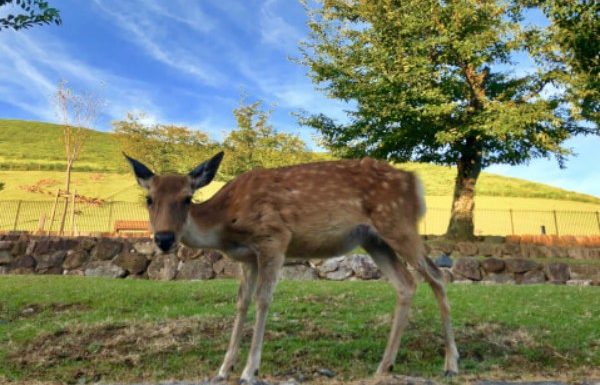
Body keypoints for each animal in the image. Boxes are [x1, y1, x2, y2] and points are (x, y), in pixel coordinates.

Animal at [123, 152, 460, 382]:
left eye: (187, 198)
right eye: (149, 198)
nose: (164, 238)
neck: (226, 224)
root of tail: (415, 183)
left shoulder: (274, 238)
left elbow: (263, 300)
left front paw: (250, 370)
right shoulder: (248, 258)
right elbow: (241, 303)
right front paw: (223, 369)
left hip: (398, 224)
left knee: (437, 275)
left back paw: (451, 364)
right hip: (375, 240)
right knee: (407, 284)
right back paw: (384, 365)